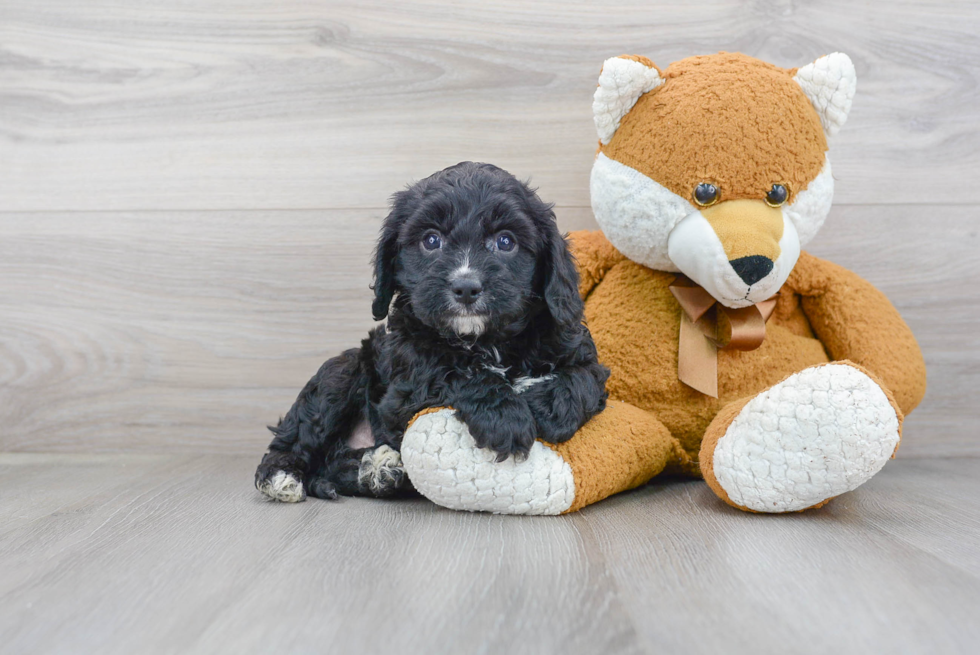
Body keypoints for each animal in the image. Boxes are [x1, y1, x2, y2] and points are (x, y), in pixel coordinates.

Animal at [255, 163, 604, 502]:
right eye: (431, 240)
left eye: (505, 241)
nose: (466, 287)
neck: (485, 341)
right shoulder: (403, 389)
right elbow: (451, 371)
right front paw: (505, 417)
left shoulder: (576, 347)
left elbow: (583, 380)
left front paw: (545, 407)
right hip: (340, 374)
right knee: (296, 439)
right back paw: (282, 476)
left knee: (332, 463)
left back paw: (378, 471)